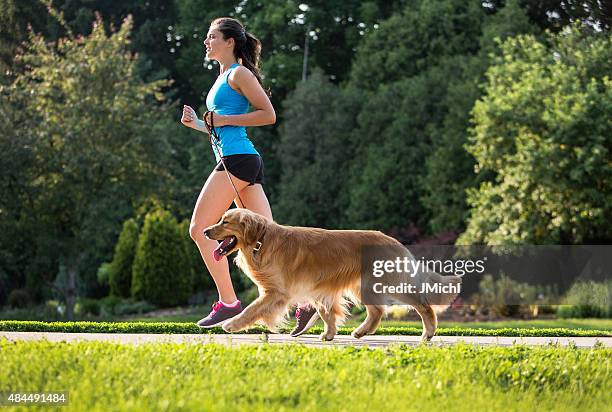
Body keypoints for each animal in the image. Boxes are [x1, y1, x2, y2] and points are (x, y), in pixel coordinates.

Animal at [203, 209, 462, 342]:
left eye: (225, 221)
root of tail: (396, 242)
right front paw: (329, 334)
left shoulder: (277, 292)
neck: (261, 241)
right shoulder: (316, 289)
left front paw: (232, 324)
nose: (205, 231)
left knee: (423, 305)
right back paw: (361, 331)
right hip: (364, 285)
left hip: (387, 282)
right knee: (377, 311)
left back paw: (428, 332)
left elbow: (252, 309)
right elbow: (326, 313)